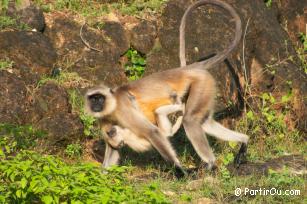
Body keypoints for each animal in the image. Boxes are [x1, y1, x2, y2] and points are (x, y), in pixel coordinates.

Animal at [85, 0, 249, 177]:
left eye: (99, 98)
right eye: (93, 99)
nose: (96, 105)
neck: (113, 103)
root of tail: (188, 69)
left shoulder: (123, 109)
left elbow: (152, 132)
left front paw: (180, 171)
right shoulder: (105, 120)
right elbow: (113, 148)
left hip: (202, 84)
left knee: (190, 120)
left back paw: (210, 164)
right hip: (206, 88)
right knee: (203, 122)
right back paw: (244, 141)